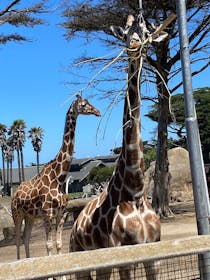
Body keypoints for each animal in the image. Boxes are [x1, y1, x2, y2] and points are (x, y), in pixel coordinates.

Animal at [10, 94, 101, 258]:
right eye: (84, 105)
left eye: (89, 102)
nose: (98, 112)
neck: (59, 177)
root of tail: (15, 193)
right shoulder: (48, 214)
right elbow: (49, 245)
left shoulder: (61, 214)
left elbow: (58, 244)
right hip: (17, 214)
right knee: (18, 240)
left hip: (30, 216)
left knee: (26, 238)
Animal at [69, 14, 167, 278]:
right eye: (124, 33)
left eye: (145, 31)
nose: (134, 45)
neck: (136, 192)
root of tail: (75, 223)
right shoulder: (123, 253)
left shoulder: (153, 250)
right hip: (80, 254)